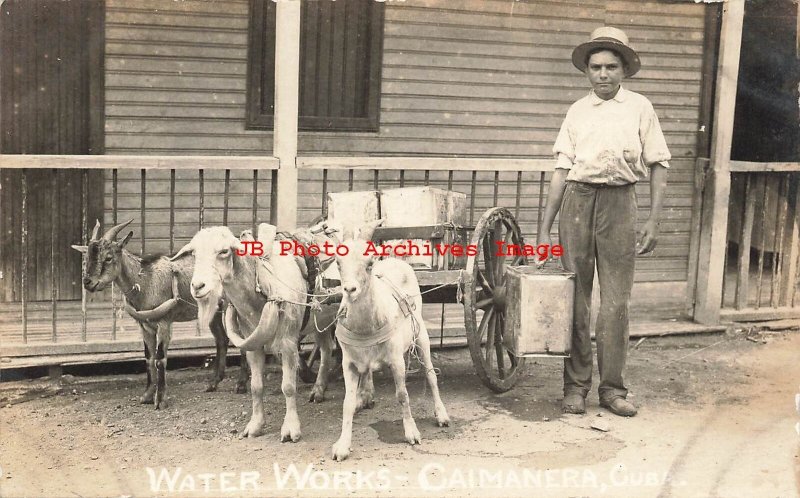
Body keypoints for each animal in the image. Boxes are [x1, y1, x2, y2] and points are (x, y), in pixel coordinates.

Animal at [72, 219, 248, 408]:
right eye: (87, 258)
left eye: (108, 257)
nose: (88, 282)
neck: (145, 281)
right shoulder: (144, 325)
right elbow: (149, 358)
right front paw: (147, 395)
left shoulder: (164, 322)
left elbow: (160, 358)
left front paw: (161, 399)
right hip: (213, 309)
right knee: (222, 339)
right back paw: (213, 383)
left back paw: (241, 385)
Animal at [172, 224, 334, 442]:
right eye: (195, 254)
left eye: (224, 251)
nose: (198, 286)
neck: (265, 283)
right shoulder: (252, 343)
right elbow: (256, 386)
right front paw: (255, 425)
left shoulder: (288, 341)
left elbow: (288, 387)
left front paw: (291, 428)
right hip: (321, 320)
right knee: (326, 349)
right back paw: (318, 390)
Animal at [324, 220, 450, 462]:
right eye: (338, 262)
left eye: (369, 262)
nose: (350, 290)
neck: (366, 328)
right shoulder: (349, 363)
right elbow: (346, 403)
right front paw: (342, 446)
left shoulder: (395, 360)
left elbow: (402, 395)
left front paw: (412, 433)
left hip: (421, 336)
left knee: (431, 375)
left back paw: (442, 415)